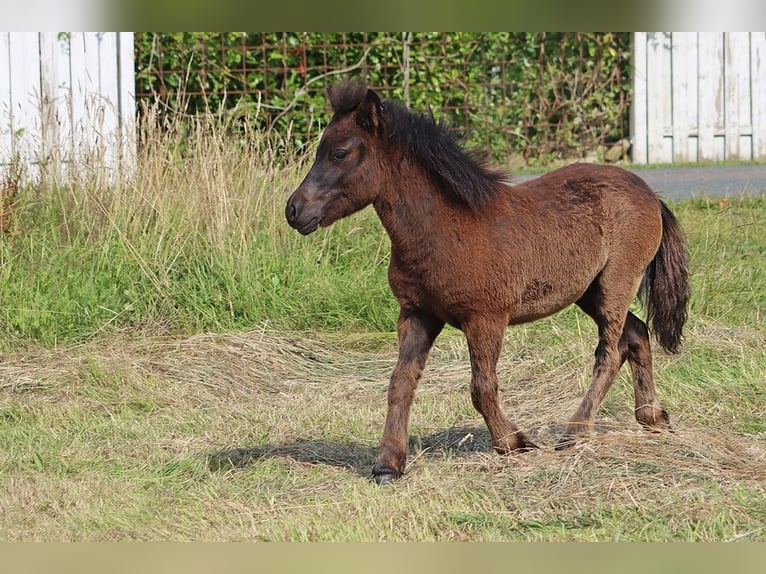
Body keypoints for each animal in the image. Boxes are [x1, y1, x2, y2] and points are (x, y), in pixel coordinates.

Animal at [284, 80, 692, 486]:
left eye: (339, 153)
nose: (293, 210)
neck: (444, 228)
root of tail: (649, 193)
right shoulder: (416, 314)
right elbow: (400, 382)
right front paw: (388, 464)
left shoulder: (486, 319)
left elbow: (481, 388)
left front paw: (514, 442)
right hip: (589, 292)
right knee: (635, 333)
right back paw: (652, 416)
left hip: (616, 282)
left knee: (609, 352)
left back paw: (575, 433)